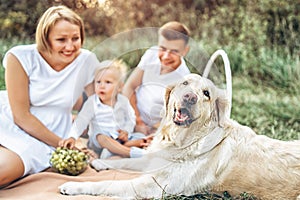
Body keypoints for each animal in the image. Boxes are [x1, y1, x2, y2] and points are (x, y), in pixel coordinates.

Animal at [59, 74, 300, 200]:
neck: (183, 139)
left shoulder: (154, 186)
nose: (189, 96)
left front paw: (73, 187)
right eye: (185, 84)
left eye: (206, 94)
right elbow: (129, 160)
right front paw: (100, 163)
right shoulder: (155, 159)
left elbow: (108, 184)